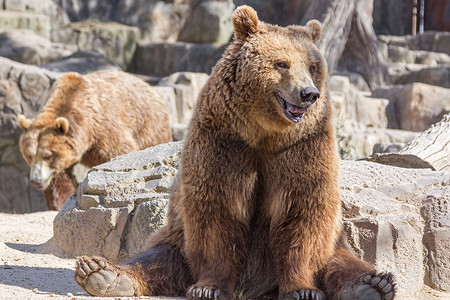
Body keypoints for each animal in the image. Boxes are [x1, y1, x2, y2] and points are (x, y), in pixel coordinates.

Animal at [18, 69, 172, 211]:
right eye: (29, 155)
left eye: (47, 156)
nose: (36, 181)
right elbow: (59, 180)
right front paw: (60, 203)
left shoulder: (103, 129)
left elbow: (119, 152)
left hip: (148, 124)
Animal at [72, 5, 396, 300]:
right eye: (282, 63)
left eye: (313, 67)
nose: (308, 94)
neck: (264, 134)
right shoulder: (224, 143)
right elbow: (217, 210)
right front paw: (208, 288)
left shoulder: (303, 148)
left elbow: (303, 212)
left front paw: (303, 290)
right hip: (178, 239)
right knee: (156, 258)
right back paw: (101, 273)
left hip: (336, 243)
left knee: (342, 261)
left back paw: (372, 285)